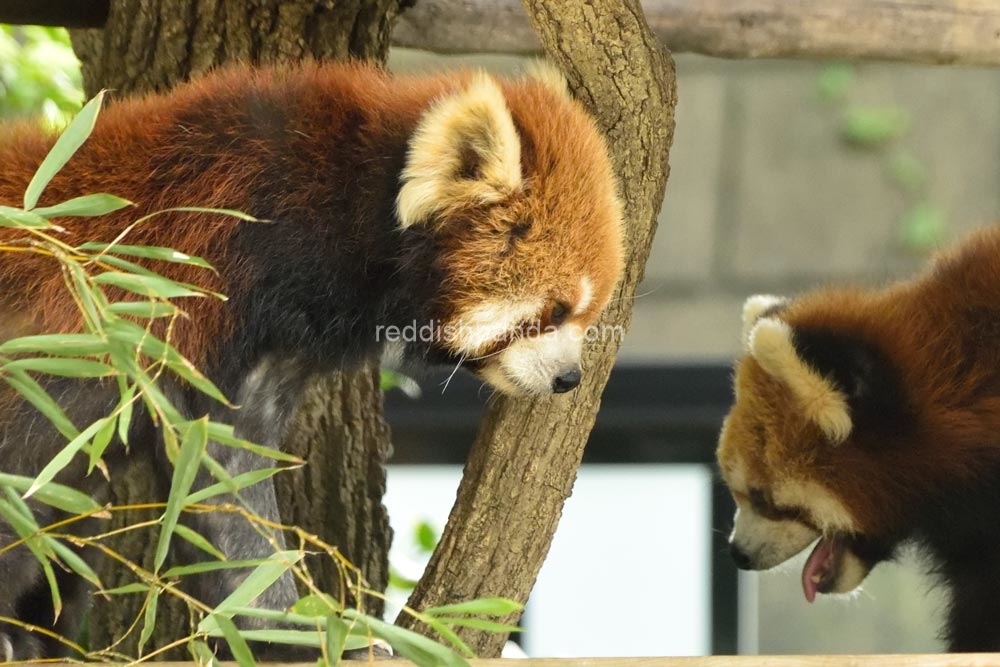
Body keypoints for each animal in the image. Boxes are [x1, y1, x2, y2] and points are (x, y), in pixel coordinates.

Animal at [0, 61, 624, 656]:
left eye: (585, 314)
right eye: (553, 310)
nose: (569, 378)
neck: (343, 207)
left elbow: (226, 470)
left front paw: (287, 629)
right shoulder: (212, 278)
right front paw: (307, 628)